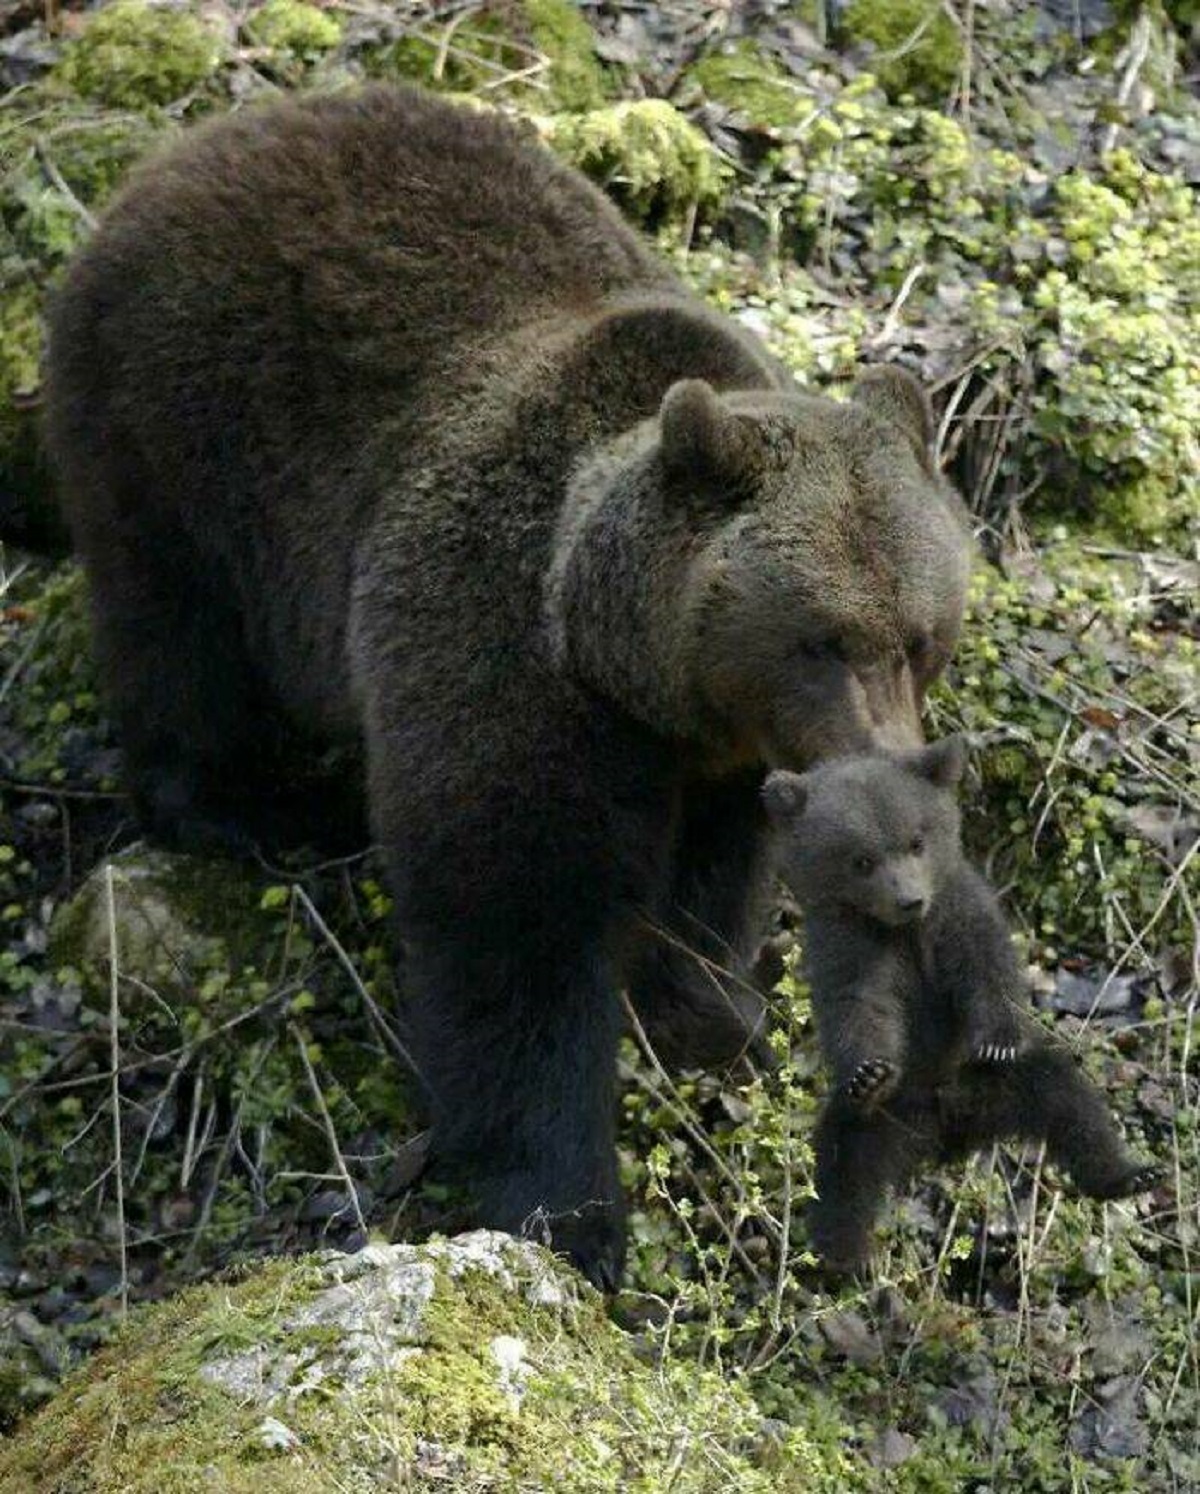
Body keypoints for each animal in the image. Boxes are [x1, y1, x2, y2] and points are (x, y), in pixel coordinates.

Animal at [42, 87, 974, 1290]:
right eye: (823, 639)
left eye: (921, 636)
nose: (892, 760)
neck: (626, 664)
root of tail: (189, 145)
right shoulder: (496, 646)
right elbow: (513, 922)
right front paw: (569, 1211)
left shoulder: (724, 751)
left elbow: (715, 879)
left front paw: (705, 1007)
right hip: (176, 432)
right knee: (177, 636)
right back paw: (253, 803)